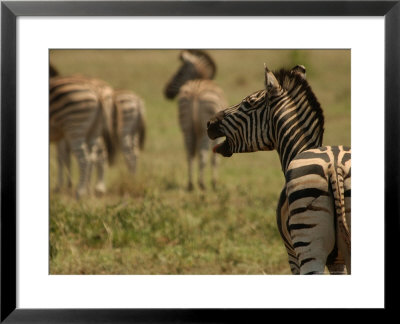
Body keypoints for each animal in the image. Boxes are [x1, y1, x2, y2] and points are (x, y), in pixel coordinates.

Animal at [163, 49, 227, 191]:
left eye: (179, 72)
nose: (165, 92)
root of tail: (196, 91)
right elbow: (215, 158)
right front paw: (215, 183)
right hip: (204, 129)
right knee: (203, 154)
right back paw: (202, 184)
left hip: (186, 127)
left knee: (189, 153)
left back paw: (190, 184)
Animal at [208, 64, 352, 274]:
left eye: (248, 103)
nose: (209, 123)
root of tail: (334, 166)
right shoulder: (338, 261)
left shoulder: (291, 253)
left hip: (308, 246)